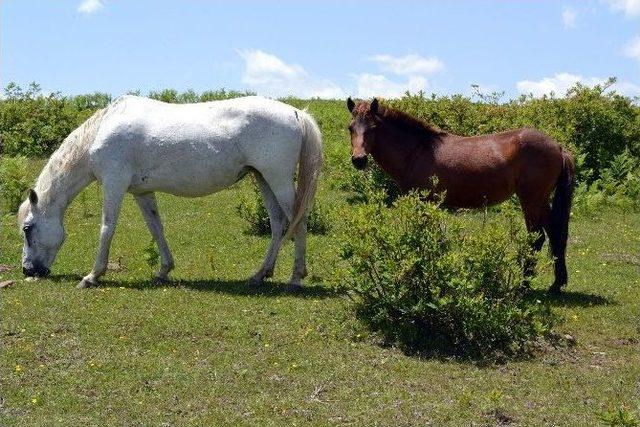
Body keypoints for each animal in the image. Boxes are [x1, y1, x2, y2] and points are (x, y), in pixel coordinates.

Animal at [18, 96, 322, 290]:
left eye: (27, 228)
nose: (28, 270)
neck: (101, 132)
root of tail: (296, 113)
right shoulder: (142, 192)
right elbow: (156, 228)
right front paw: (164, 270)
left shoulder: (114, 184)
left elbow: (107, 228)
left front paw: (93, 276)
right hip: (263, 179)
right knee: (278, 223)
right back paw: (260, 275)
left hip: (278, 179)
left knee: (299, 221)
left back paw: (296, 277)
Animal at [350, 98, 576, 294]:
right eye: (351, 127)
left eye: (373, 128)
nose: (358, 160)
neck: (417, 151)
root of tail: (559, 148)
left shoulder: (424, 201)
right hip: (541, 201)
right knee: (554, 235)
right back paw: (556, 284)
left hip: (531, 200)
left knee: (536, 239)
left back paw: (524, 285)